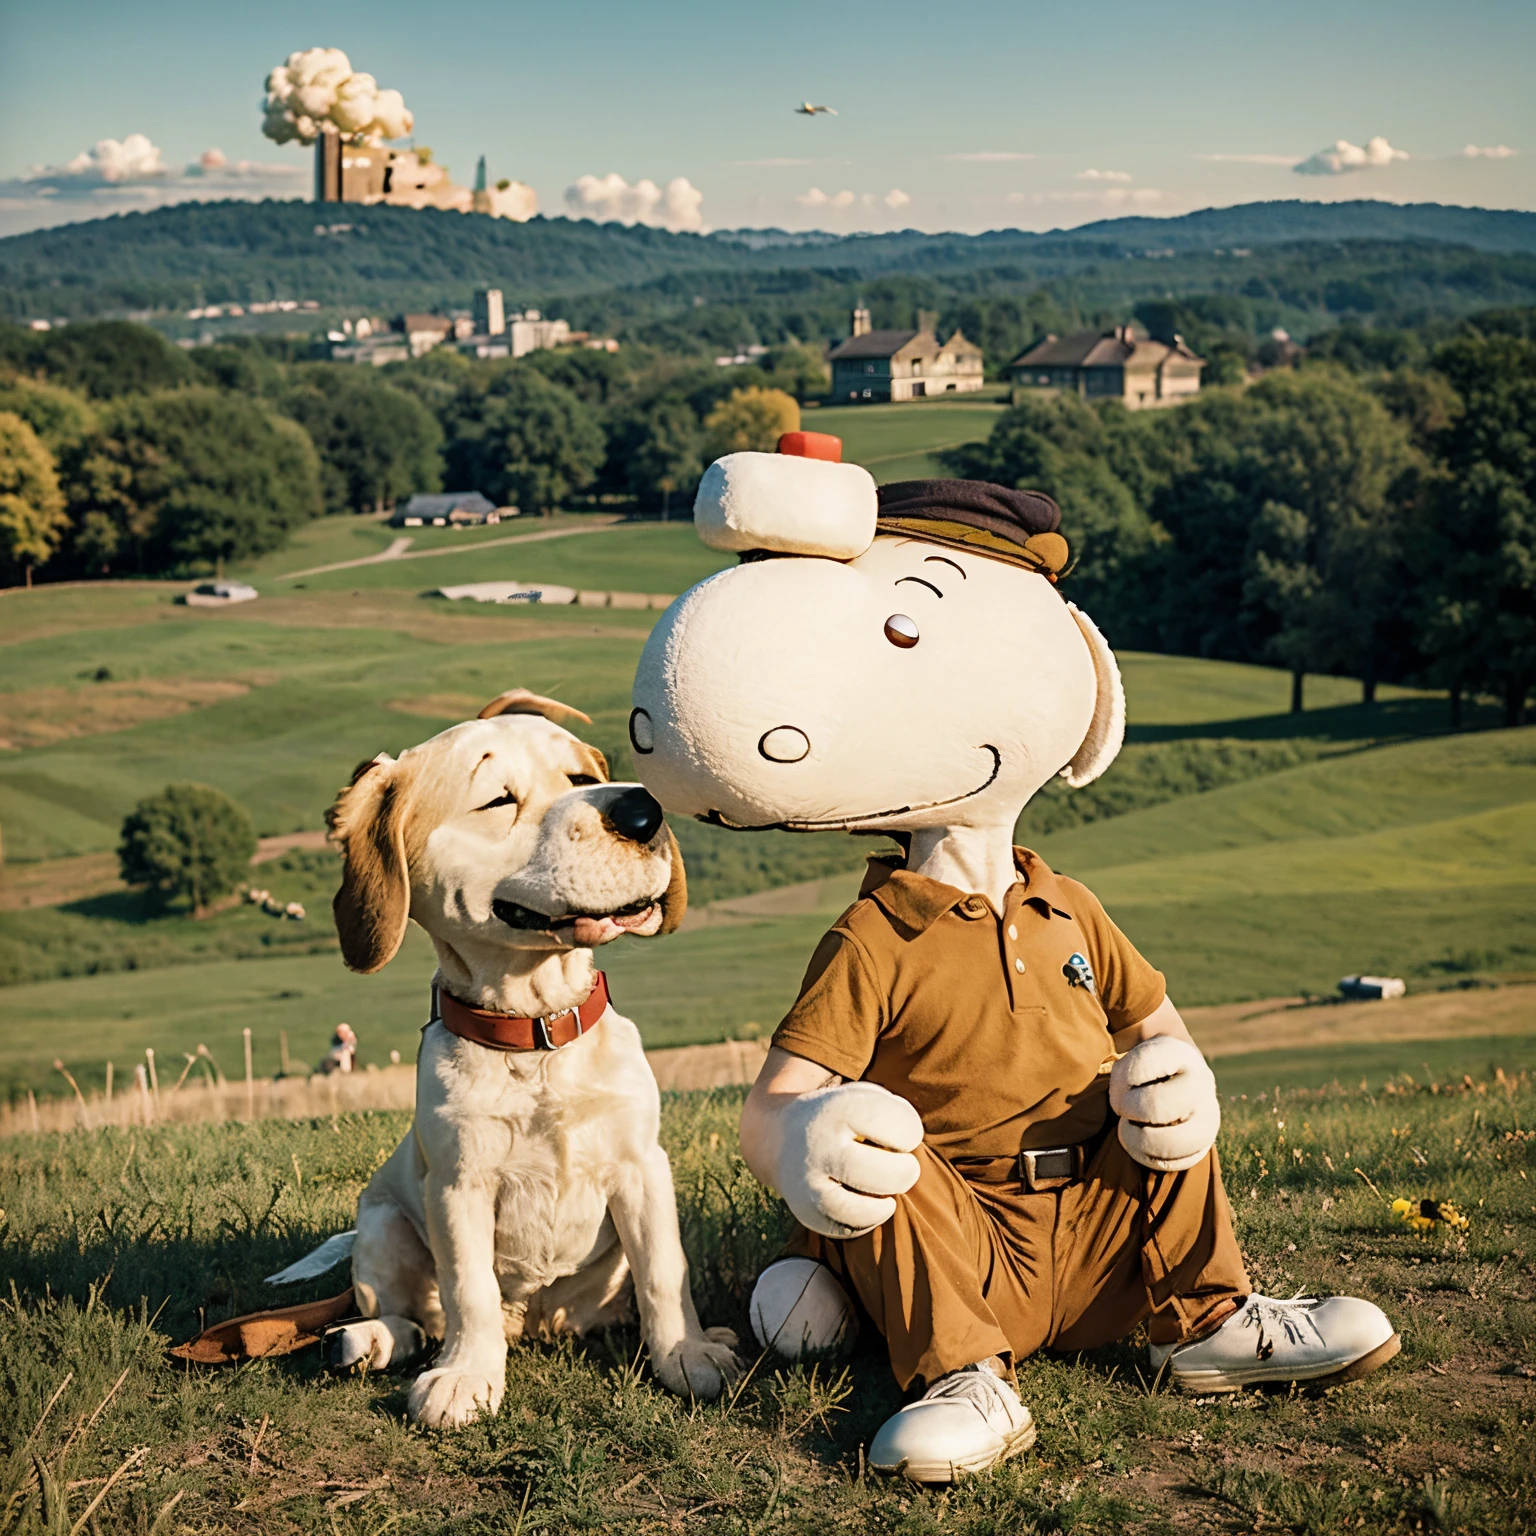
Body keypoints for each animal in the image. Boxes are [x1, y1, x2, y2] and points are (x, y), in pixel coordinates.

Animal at [308, 691, 740, 1431]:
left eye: (581, 777)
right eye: (498, 799)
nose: (642, 810)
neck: (539, 1037)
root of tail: (534, 1322)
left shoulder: (642, 1166)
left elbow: (664, 1271)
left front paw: (686, 1353)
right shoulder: (458, 1185)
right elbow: (469, 1288)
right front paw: (467, 1377)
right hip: (383, 1223)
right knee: (409, 1314)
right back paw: (372, 1342)